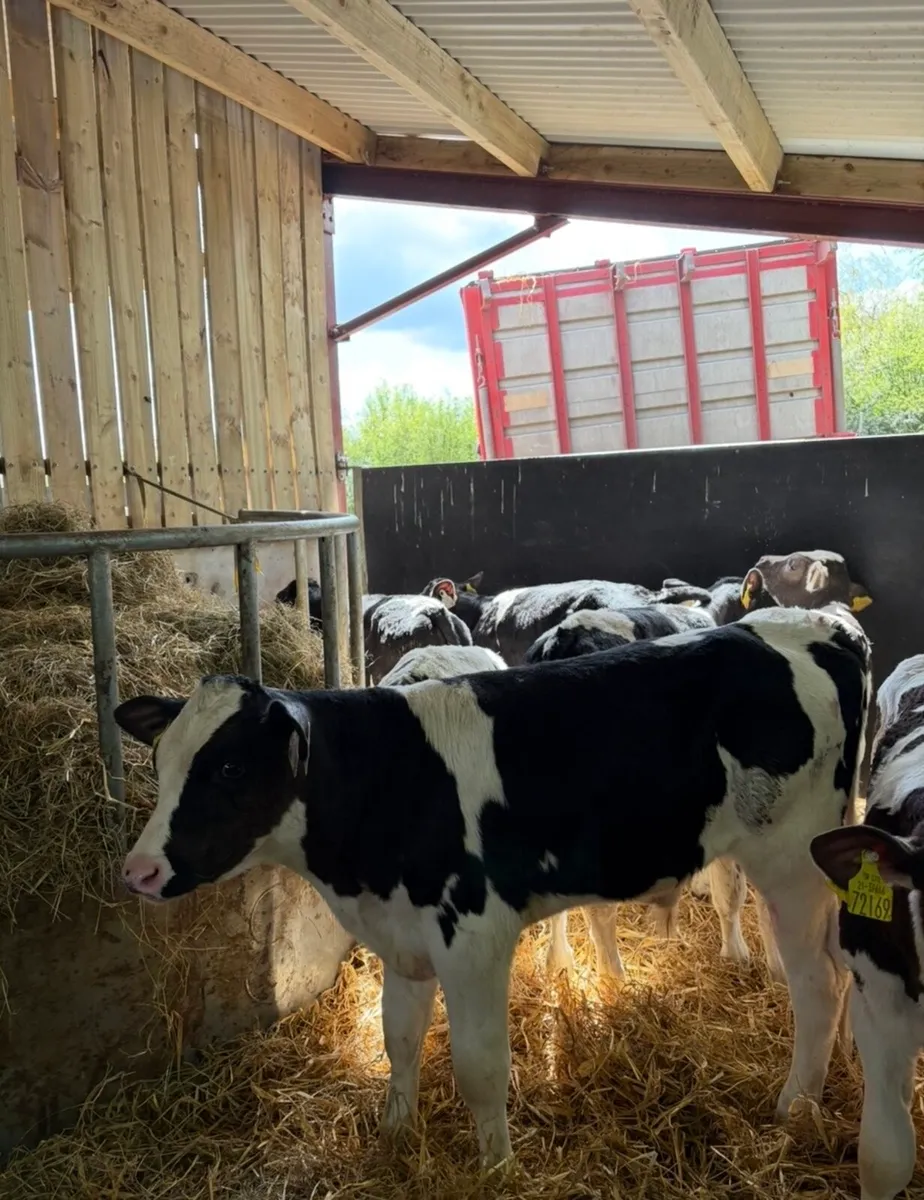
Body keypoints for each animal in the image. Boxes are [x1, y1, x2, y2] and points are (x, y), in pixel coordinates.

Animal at [116, 605, 870, 1170]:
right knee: (835, 971)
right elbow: (399, 1039)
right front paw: (395, 1134)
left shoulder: (473, 936)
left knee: (819, 984)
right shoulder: (403, 937)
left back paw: (795, 1105)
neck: (389, 782)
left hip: (791, 862)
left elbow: (479, 1066)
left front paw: (496, 1166)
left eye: (230, 768)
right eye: (161, 758)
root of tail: (810, 628)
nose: (139, 870)